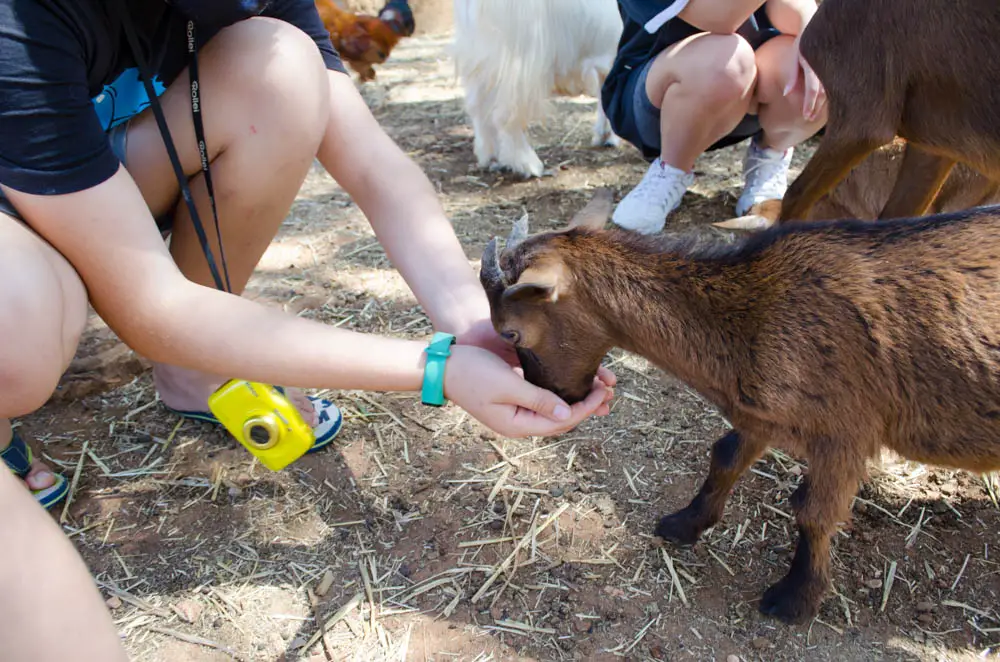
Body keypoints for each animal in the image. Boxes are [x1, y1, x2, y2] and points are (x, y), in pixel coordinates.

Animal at [456, 0, 624, 179]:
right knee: (505, 113)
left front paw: (606, 135)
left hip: (484, 56)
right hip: (520, 56)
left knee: (478, 105)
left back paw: (491, 157)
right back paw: (527, 163)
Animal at [478, 193, 1000, 628]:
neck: (754, 317)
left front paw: (794, 599)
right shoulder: (763, 414)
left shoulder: (845, 430)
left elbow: (813, 513)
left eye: (510, 332)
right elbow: (725, 457)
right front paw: (685, 524)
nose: (557, 397)